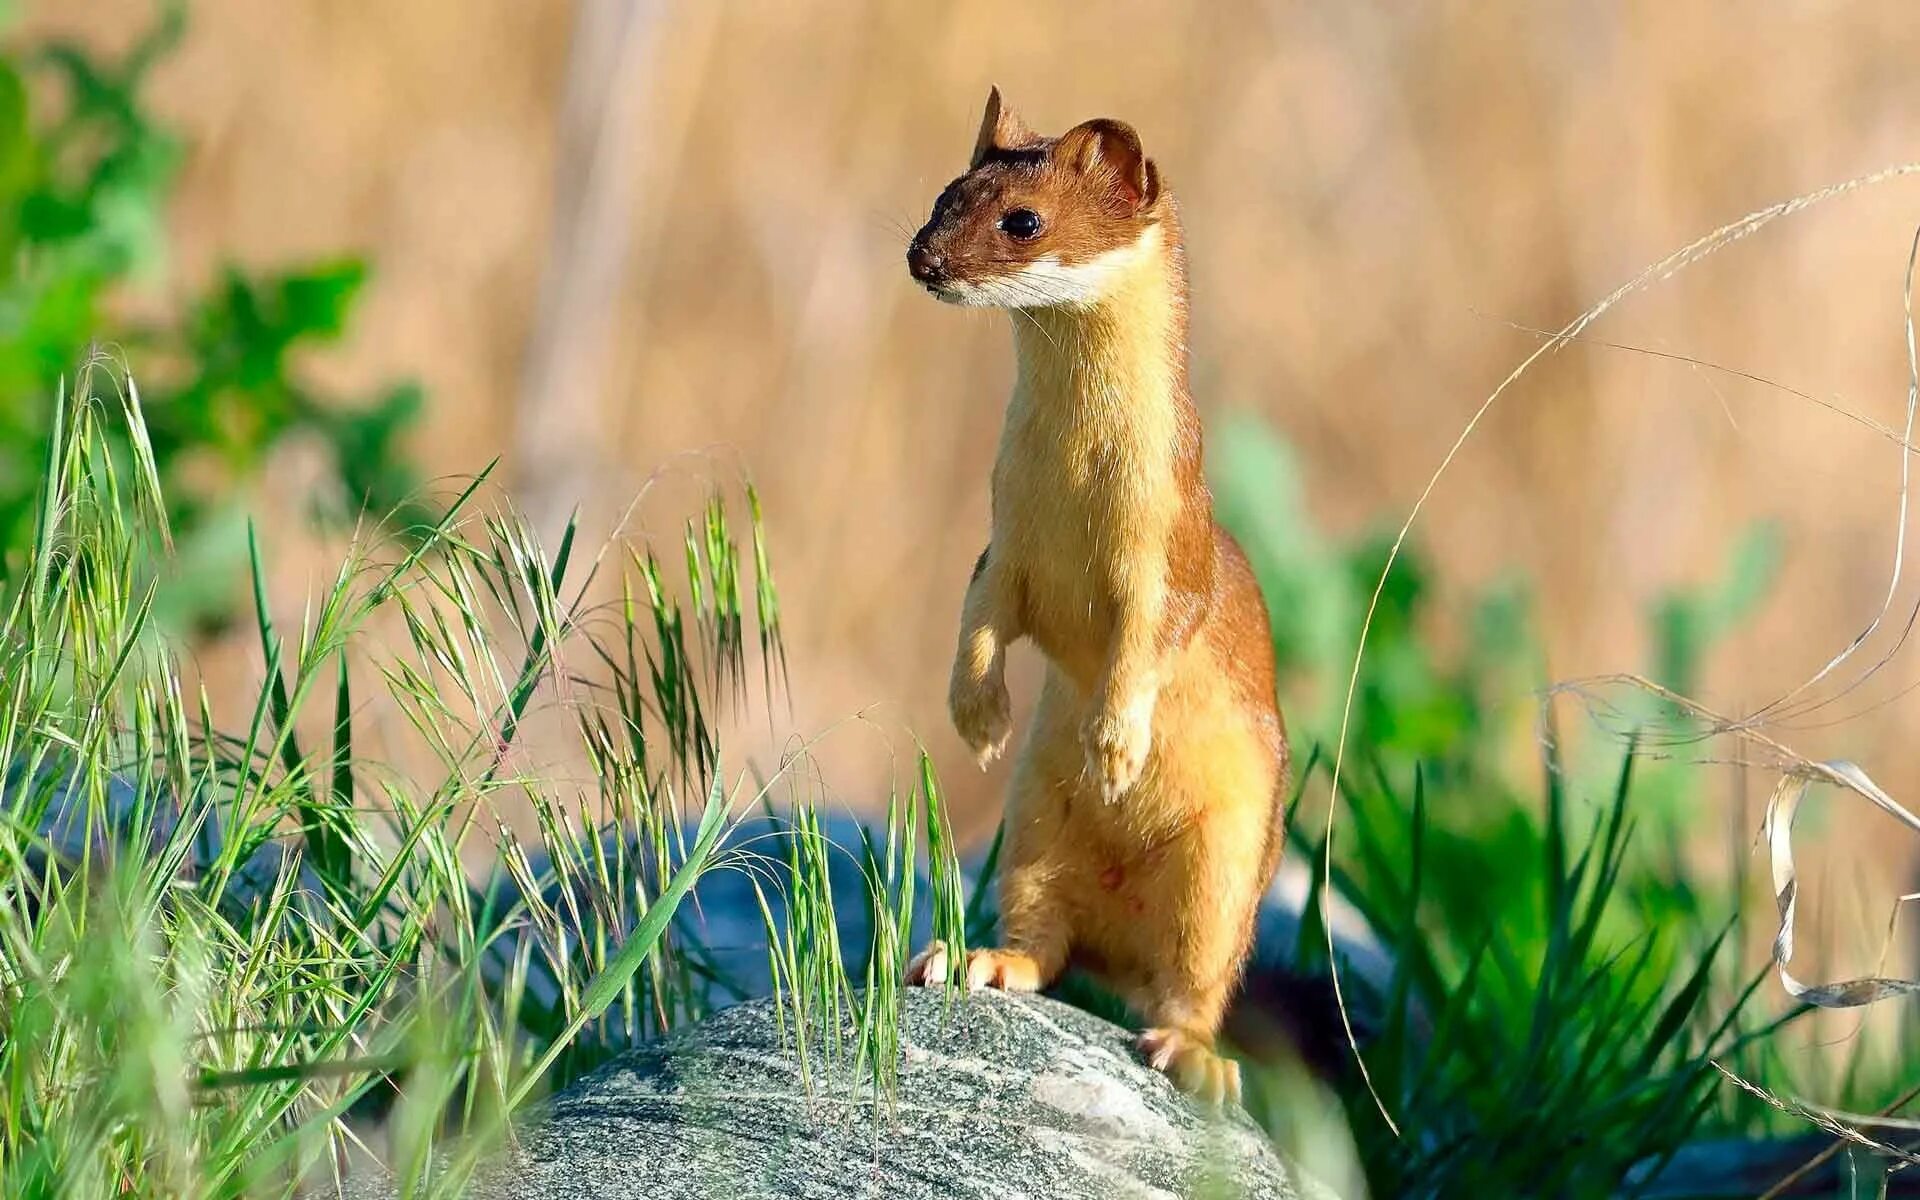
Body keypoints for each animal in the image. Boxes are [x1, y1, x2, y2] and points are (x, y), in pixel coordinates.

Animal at [898, 91, 1290, 1105]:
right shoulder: (1001, 542)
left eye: (1023, 220)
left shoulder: (1167, 553)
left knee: (1192, 982)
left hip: (1227, 865)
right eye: (946, 195)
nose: (923, 260)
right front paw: (978, 715)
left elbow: (1146, 642)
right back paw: (969, 960)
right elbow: (979, 622)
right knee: (1046, 940)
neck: (1071, 488)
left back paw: (1192, 1058)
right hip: (1034, 825)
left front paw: (1116, 748)